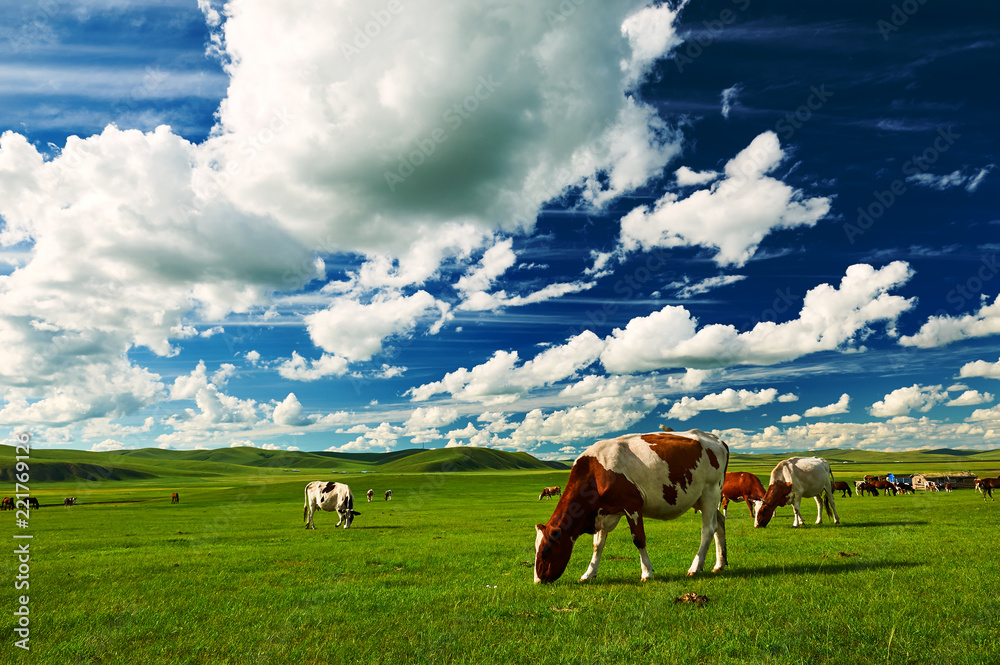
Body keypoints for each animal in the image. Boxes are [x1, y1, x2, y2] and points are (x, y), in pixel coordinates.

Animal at [532, 430, 728, 580]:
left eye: (546, 551)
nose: (538, 580)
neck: (596, 472)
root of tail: (717, 439)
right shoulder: (603, 512)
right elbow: (597, 545)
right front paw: (589, 573)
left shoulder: (632, 505)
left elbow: (638, 539)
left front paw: (647, 572)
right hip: (701, 498)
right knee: (719, 523)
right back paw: (720, 563)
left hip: (710, 491)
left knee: (708, 529)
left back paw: (695, 567)